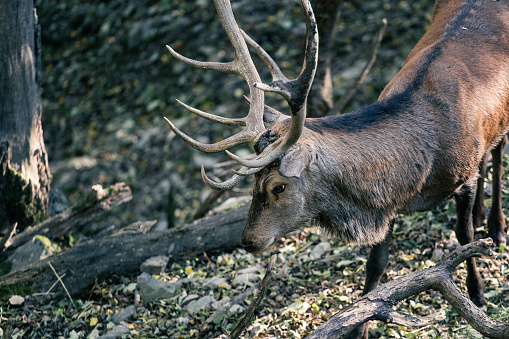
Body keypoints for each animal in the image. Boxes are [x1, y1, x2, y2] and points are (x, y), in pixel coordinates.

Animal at [165, 0, 506, 338]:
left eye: (278, 185)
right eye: (254, 183)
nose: (248, 240)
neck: (421, 174)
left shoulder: (464, 176)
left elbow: (464, 236)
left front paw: (477, 295)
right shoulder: (387, 203)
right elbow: (377, 263)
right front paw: (361, 325)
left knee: (499, 151)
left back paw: (496, 227)